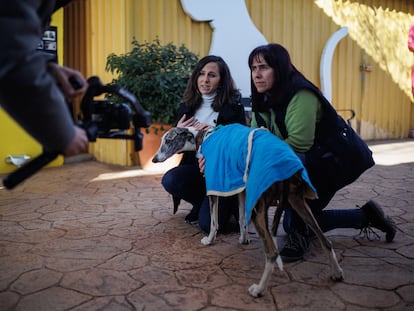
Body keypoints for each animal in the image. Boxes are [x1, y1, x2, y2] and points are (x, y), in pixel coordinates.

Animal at [152, 123, 342, 298]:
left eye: (168, 140)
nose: (154, 160)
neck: (203, 136)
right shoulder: (241, 189)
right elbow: (242, 216)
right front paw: (243, 239)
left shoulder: (214, 186)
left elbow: (214, 221)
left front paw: (209, 239)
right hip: (297, 202)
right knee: (325, 240)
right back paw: (337, 273)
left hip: (261, 210)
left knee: (272, 253)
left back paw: (259, 290)